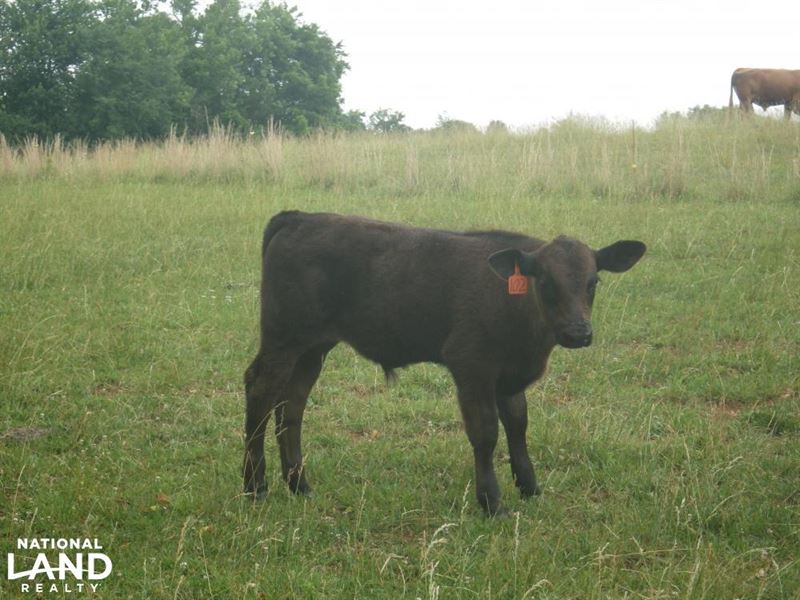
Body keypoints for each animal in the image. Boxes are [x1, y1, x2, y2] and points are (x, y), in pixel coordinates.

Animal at [243, 211, 646, 515]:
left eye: (593, 282)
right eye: (544, 281)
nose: (578, 333)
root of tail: (299, 217)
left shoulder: (509, 375)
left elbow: (518, 424)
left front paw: (530, 487)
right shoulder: (471, 365)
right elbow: (486, 432)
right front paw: (492, 502)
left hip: (312, 348)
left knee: (292, 405)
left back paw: (299, 485)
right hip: (283, 338)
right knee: (260, 391)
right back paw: (255, 487)